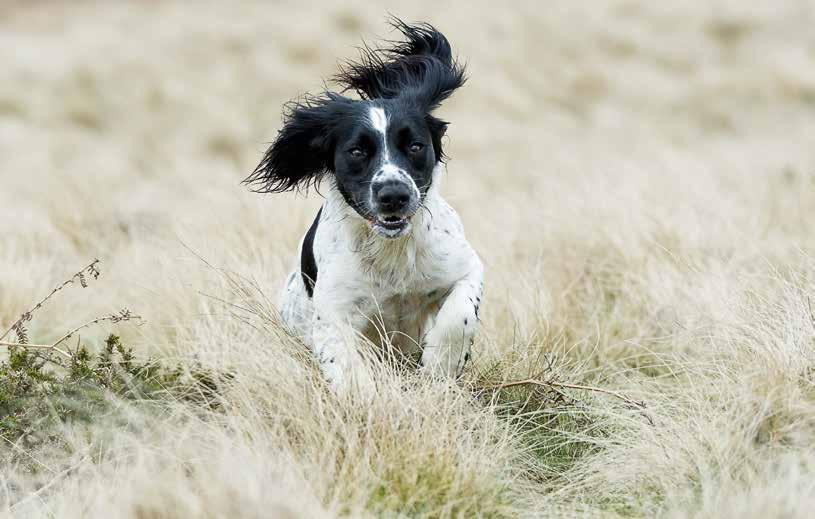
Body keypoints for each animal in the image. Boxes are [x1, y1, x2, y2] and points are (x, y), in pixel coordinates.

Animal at [245, 19, 482, 394]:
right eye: (357, 151)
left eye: (415, 146)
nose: (394, 194)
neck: (391, 251)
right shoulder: (333, 310)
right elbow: (347, 366)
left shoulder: (465, 267)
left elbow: (459, 313)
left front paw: (440, 367)